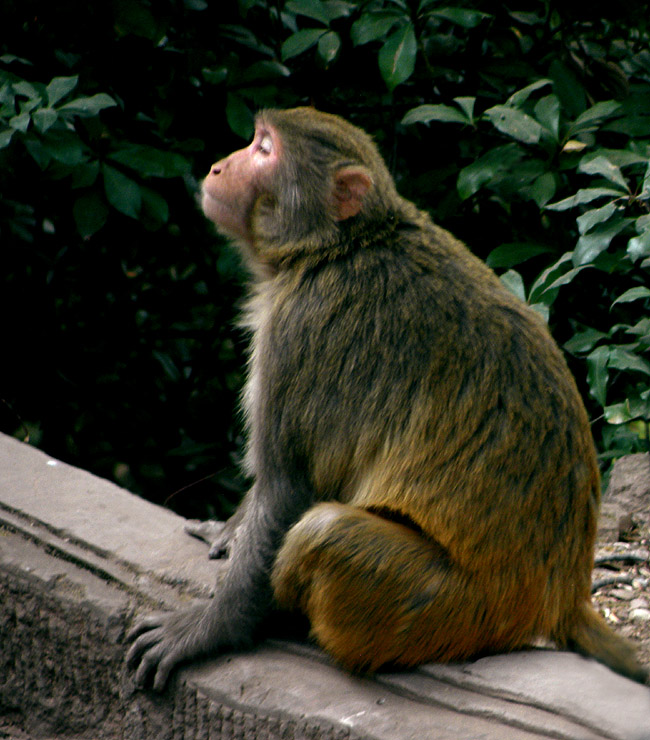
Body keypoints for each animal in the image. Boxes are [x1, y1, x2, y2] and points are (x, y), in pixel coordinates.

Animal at [125, 104, 644, 688]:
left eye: (264, 151)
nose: (217, 167)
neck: (338, 246)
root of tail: (560, 598)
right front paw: (229, 527)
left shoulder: (299, 329)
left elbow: (288, 488)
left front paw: (211, 628)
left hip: (454, 608)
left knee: (322, 531)